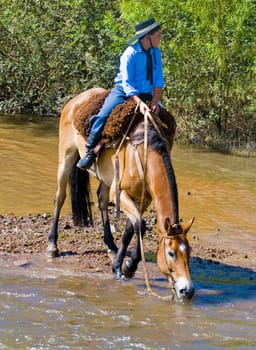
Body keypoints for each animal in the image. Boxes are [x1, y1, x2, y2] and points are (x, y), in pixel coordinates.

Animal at [48, 87, 195, 298]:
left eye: (189, 252)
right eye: (171, 253)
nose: (187, 290)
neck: (144, 152)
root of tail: (76, 99)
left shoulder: (143, 199)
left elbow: (129, 229)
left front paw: (123, 265)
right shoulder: (121, 194)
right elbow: (140, 226)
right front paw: (126, 267)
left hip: (105, 178)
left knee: (101, 201)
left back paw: (110, 245)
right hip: (66, 156)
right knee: (60, 198)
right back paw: (53, 245)